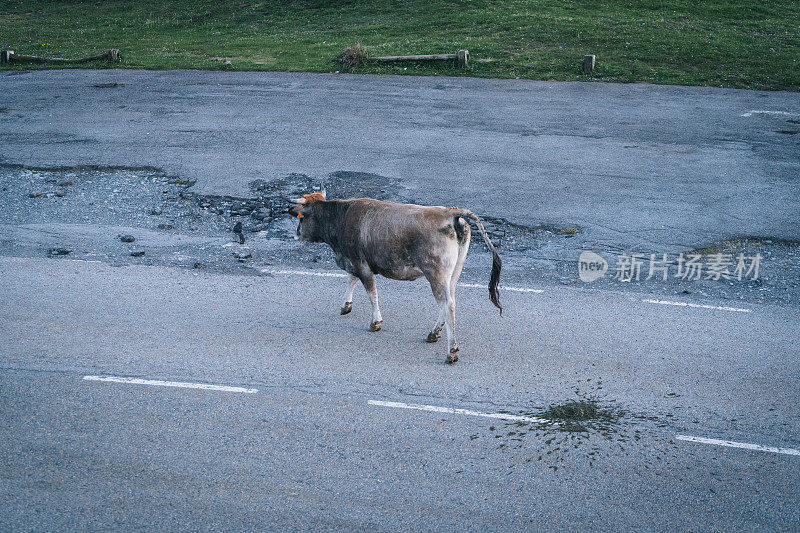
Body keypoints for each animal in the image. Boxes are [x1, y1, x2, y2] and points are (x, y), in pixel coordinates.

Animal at [288, 189, 500, 364]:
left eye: (301, 218)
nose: (296, 235)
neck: (342, 217)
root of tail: (450, 213)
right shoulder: (356, 261)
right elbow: (351, 280)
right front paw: (346, 306)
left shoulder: (360, 263)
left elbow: (371, 292)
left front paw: (375, 322)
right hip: (453, 273)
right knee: (449, 301)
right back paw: (433, 334)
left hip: (436, 273)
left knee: (447, 305)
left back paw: (451, 352)